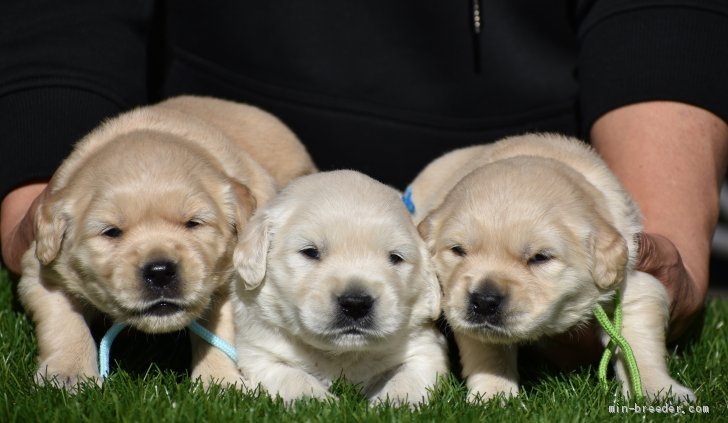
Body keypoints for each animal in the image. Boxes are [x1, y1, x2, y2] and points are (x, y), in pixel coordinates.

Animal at [17, 95, 316, 390]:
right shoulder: (42, 267)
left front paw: (219, 382)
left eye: (193, 223)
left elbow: (220, 330)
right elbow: (63, 320)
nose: (160, 272)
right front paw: (68, 373)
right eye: (111, 232)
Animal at [233, 170, 450, 408]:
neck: (341, 353)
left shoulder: (425, 349)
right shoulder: (259, 353)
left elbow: (407, 378)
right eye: (310, 252)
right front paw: (317, 401)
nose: (356, 304)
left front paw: (395, 403)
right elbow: (293, 377)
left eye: (395, 257)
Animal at [410, 134, 692, 402]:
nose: (484, 300)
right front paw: (494, 395)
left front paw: (657, 391)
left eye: (539, 257)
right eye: (458, 250)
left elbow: (639, 346)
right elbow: (489, 352)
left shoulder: (632, 281)